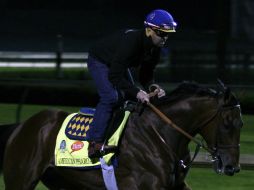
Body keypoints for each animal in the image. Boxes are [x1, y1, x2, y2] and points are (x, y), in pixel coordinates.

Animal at [0, 82, 242, 190]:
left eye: (241, 123)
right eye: (227, 123)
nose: (232, 167)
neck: (161, 135)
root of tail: (22, 127)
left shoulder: (176, 186)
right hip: (21, 179)